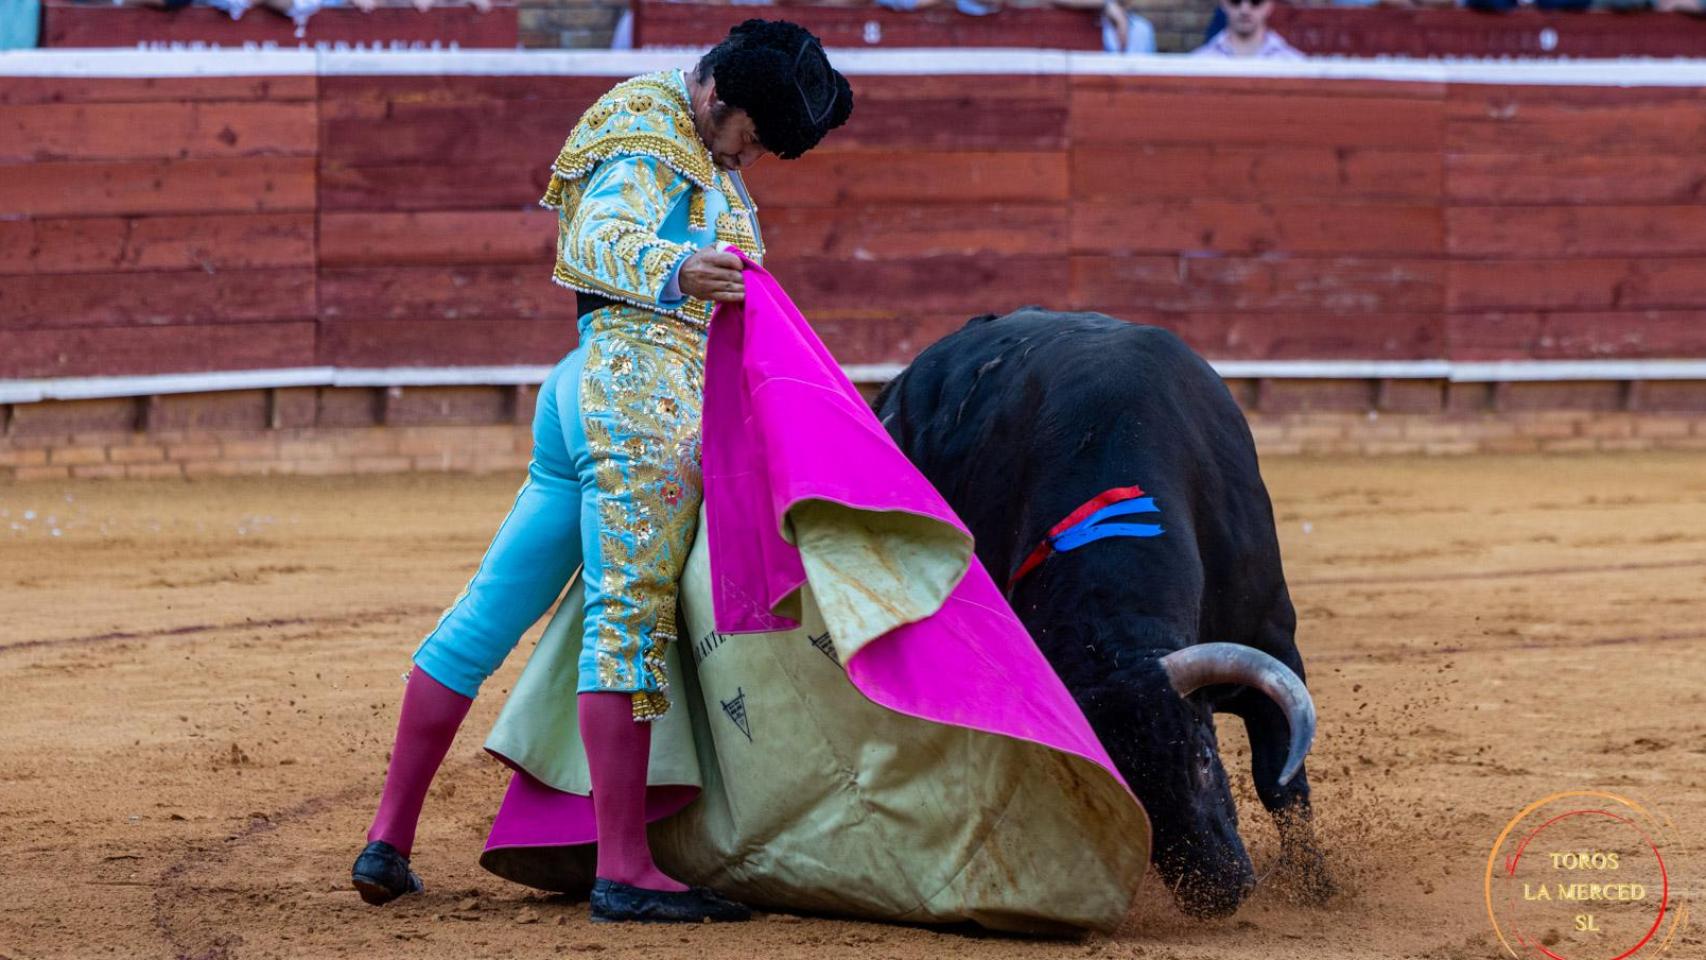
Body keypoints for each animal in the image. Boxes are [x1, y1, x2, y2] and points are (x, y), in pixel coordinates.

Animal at [880, 308, 1330, 913]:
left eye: (1203, 757)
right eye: (1119, 796)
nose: (1219, 892)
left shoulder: (1271, 641)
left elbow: (1280, 779)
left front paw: (1318, 889)